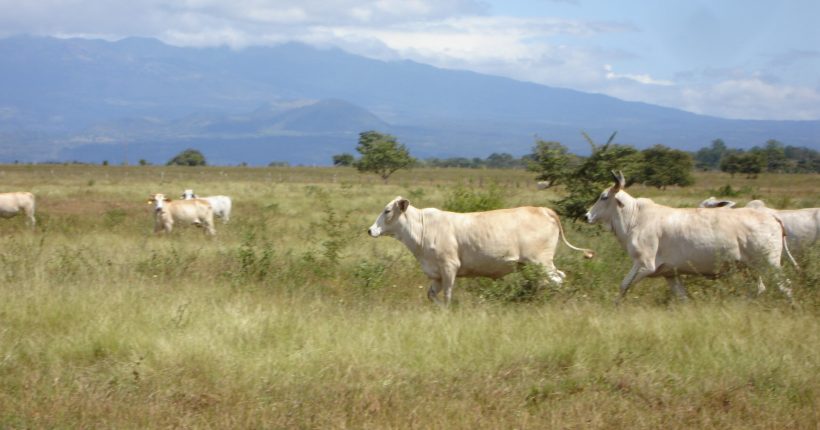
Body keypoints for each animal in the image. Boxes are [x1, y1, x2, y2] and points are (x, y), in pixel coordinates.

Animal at [367, 196, 595, 305]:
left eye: (387, 210)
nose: (370, 230)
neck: (423, 229)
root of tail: (544, 210)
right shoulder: (437, 274)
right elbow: (431, 295)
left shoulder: (449, 267)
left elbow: (448, 295)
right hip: (532, 265)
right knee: (557, 278)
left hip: (541, 262)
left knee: (557, 279)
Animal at [586, 171, 796, 304]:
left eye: (604, 197)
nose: (587, 216)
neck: (635, 218)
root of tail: (771, 216)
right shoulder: (670, 273)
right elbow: (682, 298)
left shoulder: (644, 265)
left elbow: (623, 286)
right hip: (752, 268)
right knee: (760, 289)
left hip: (769, 264)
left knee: (785, 287)